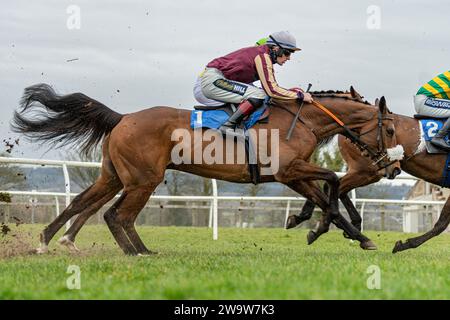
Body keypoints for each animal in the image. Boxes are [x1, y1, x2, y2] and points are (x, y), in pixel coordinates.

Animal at [10, 84, 400, 256]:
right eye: (392, 130)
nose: (393, 167)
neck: (301, 120)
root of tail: (123, 117)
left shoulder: (291, 176)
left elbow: (322, 197)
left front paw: (335, 230)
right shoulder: (289, 170)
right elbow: (332, 182)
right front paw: (346, 231)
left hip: (114, 175)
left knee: (85, 204)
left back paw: (47, 241)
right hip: (143, 180)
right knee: (117, 215)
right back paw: (138, 252)